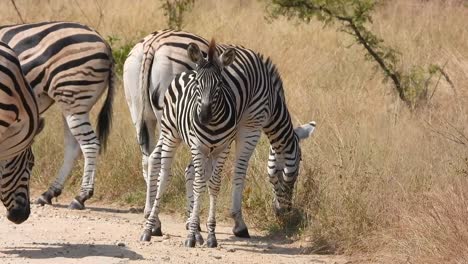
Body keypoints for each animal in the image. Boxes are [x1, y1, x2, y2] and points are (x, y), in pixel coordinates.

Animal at [0, 21, 115, 209]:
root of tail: (104, 42)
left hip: (73, 98)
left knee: (90, 144)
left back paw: (81, 196)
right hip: (71, 105)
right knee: (73, 147)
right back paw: (49, 193)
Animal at [139, 39, 314, 248]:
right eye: (299, 163)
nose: (285, 212)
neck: (272, 98)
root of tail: (153, 46)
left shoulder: (217, 138)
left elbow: (195, 173)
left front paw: (194, 223)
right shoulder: (250, 127)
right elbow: (239, 171)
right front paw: (238, 223)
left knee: (152, 158)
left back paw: (153, 221)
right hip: (169, 123)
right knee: (158, 160)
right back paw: (153, 222)